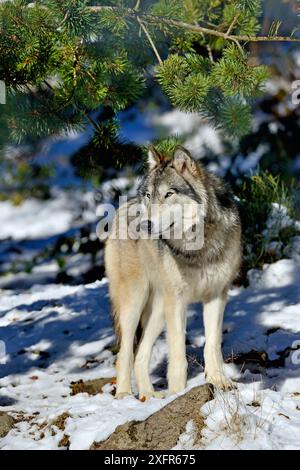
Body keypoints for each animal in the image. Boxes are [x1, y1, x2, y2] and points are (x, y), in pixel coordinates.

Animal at [105, 145, 241, 398]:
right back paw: (124, 396)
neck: (197, 248)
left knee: (140, 356)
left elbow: (212, 345)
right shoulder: (177, 302)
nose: (145, 224)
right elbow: (178, 356)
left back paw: (148, 397)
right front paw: (178, 392)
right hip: (134, 303)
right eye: (149, 196)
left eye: (169, 194)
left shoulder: (216, 296)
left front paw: (219, 381)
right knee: (124, 353)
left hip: (158, 310)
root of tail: (123, 206)